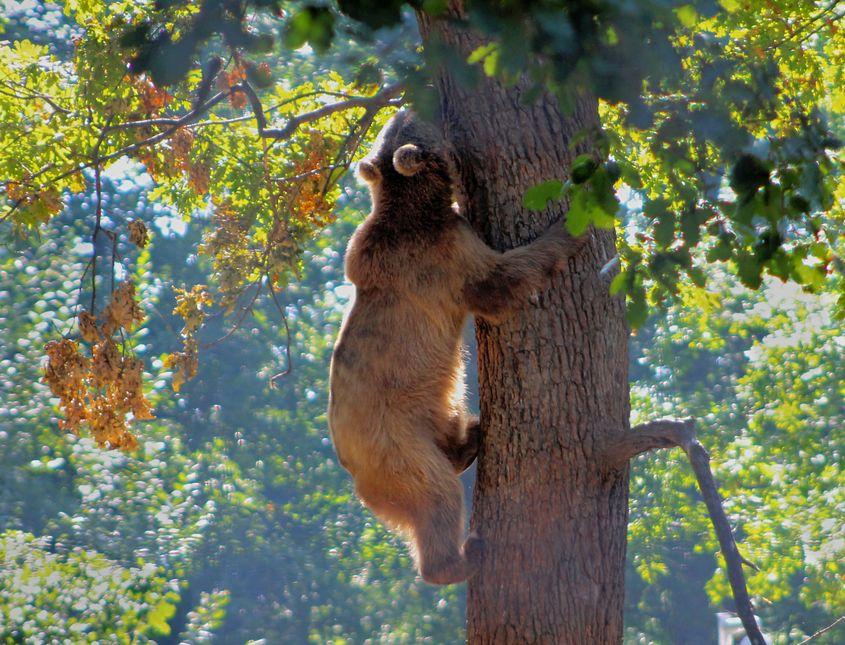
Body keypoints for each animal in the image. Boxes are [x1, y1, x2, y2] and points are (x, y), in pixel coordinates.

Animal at [326, 110, 584, 584]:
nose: (404, 106)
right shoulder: (444, 257)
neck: (416, 208)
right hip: (398, 445)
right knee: (437, 495)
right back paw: (460, 558)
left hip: (430, 418)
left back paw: (472, 437)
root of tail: (355, 478)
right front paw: (573, 224)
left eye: (396, 122)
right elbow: (500, 281)